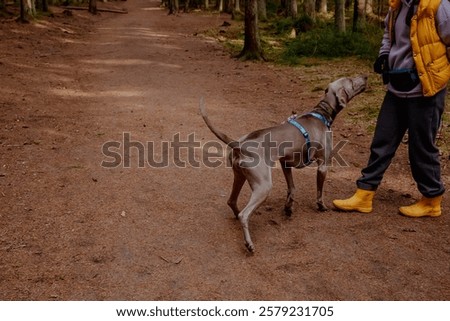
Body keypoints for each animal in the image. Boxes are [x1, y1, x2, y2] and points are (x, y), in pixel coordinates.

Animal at [200, 74, 366, 251]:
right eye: (351, 80)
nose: (366, 76)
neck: (321, 113)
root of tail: (239, 144)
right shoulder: (323, 165)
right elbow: (319, 193)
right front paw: (321, 207)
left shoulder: (285, 163)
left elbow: (292, 188)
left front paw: (288, 208)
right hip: (263, 185)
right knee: (244, 214)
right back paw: (249, 243)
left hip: (240, 176)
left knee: (232, 202)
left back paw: (237, 217)